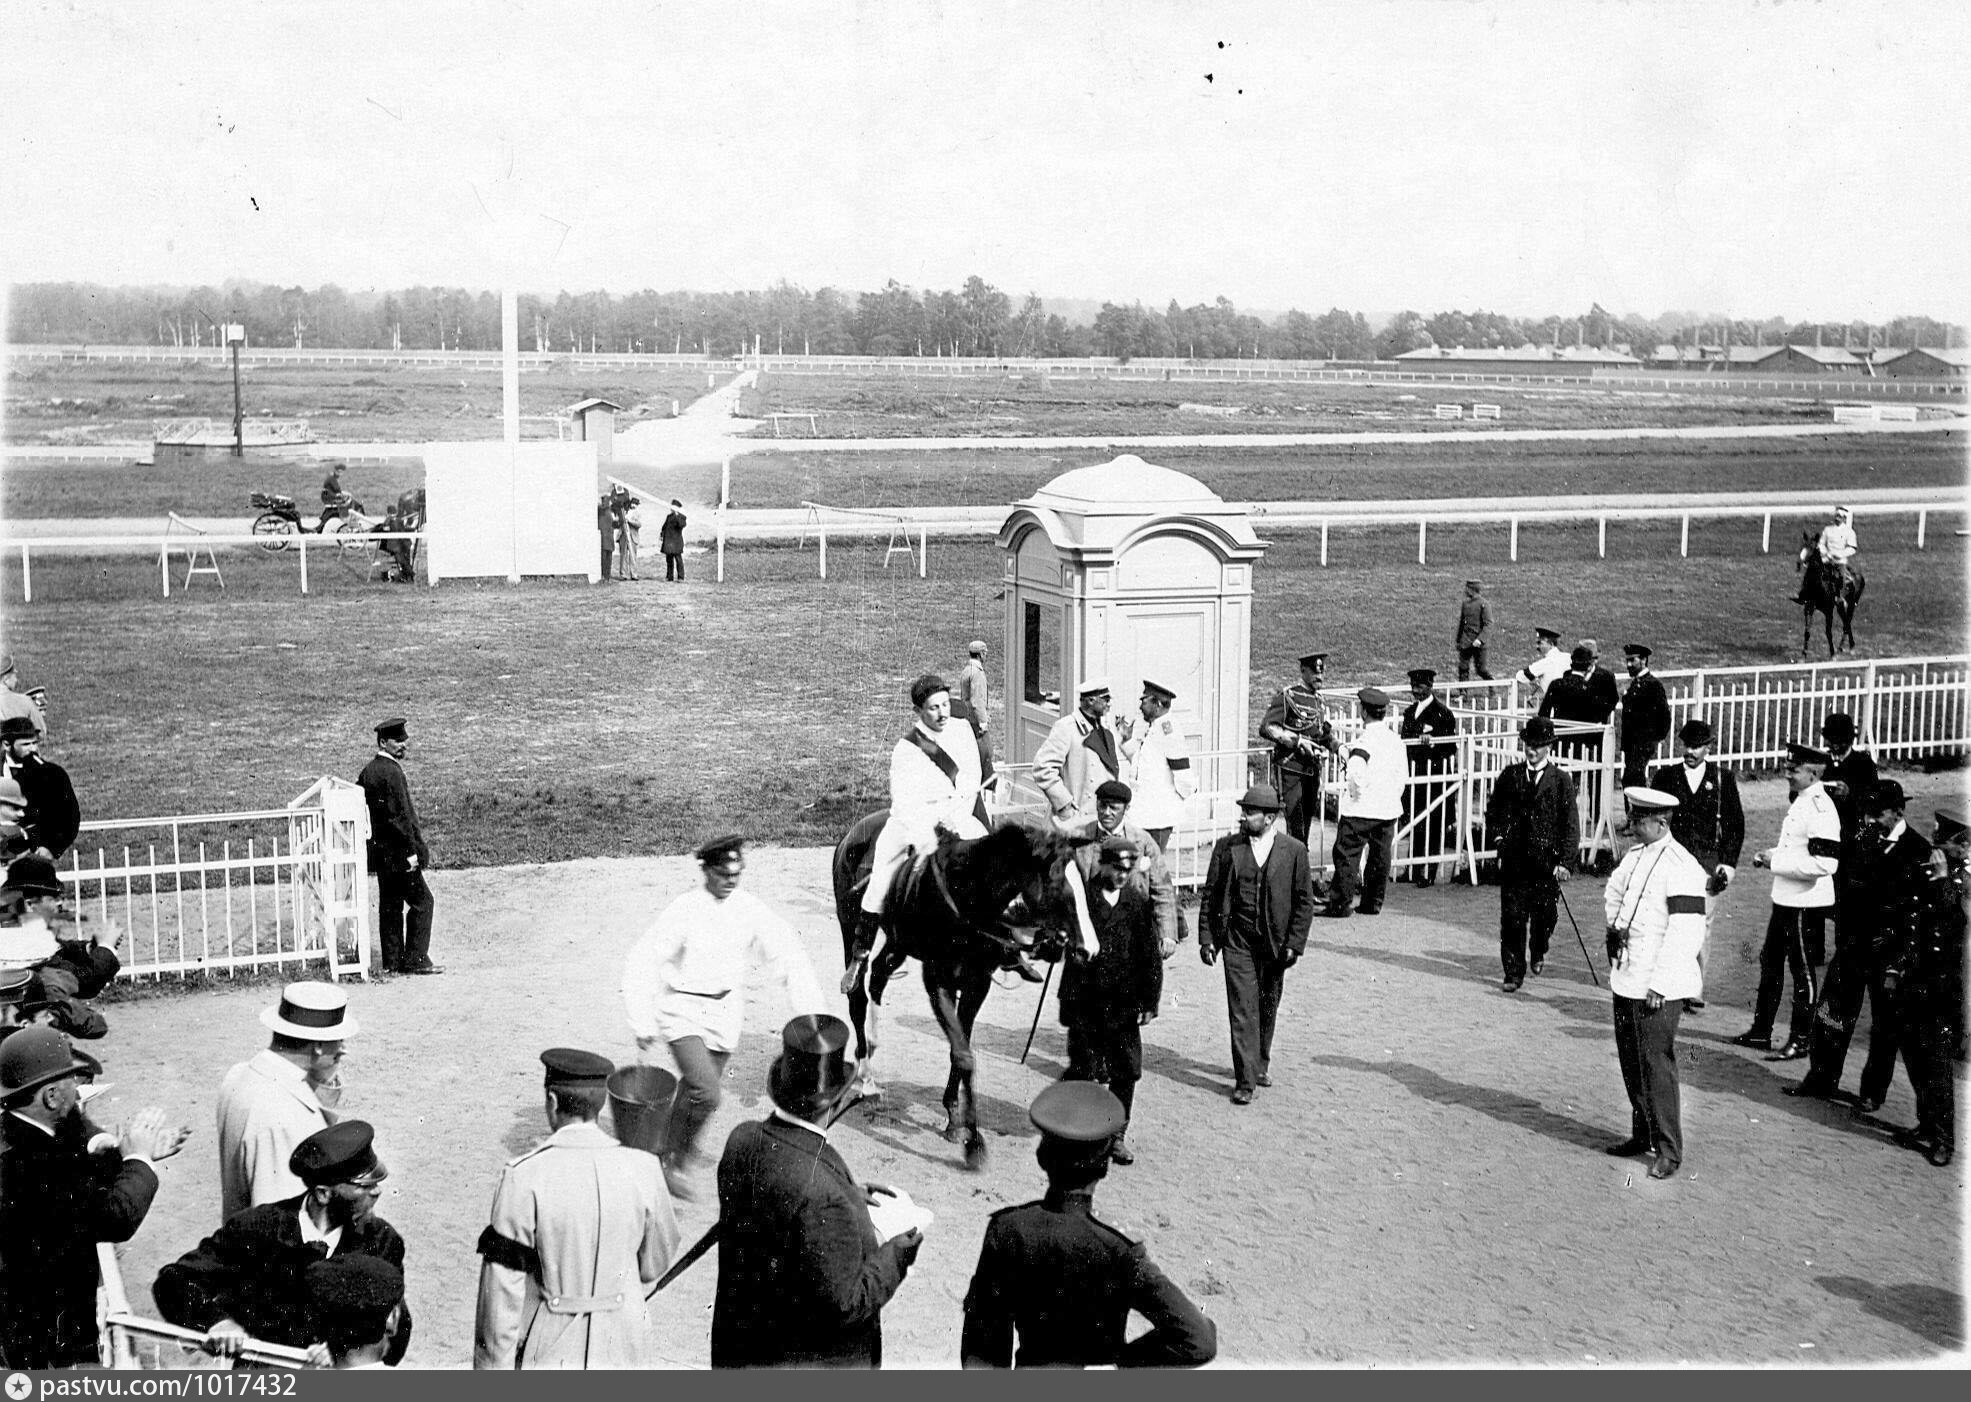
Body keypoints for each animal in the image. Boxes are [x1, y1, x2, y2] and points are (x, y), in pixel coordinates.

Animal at [835, 812, 1103, 1175]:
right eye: (1056, 883)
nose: (1090, 949)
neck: (966, 895)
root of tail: (854, 830)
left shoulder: (978, 983)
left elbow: (960, 1048)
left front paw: (953, 1118)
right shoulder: (938, 982)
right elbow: (963, 1054)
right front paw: (974, 1144)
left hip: (897, 943)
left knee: (878, 975)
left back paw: (875, 1047)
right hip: (849, 925)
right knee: (858, 994)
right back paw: (866, 1076)